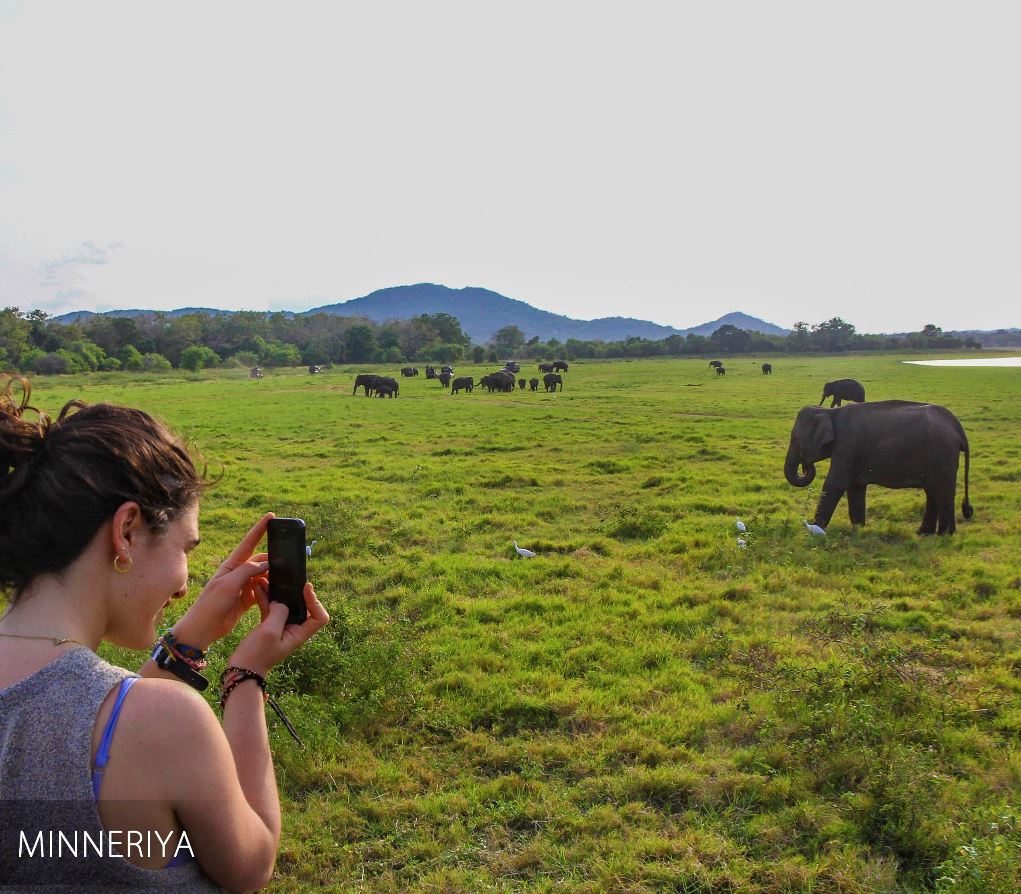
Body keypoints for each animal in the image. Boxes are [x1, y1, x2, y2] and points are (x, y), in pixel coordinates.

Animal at [788, 402, 971, 534]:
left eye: (796, 438)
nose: (805, 466)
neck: (831, 412)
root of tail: (957, 427)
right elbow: (855, 487)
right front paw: (858, 530)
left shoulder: (847, 446)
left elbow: (836, 483)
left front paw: (815, 529)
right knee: (932, 491)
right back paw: (924, 533)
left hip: (942, 454)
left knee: (943, 491)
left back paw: (945, 534)